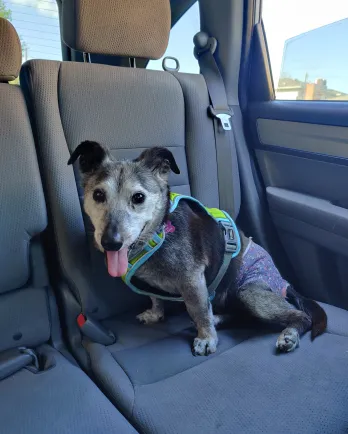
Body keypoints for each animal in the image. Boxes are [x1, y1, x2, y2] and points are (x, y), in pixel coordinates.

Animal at [68, 142, 326, 356]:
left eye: (138, 197)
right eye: (98, 194)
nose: (110, 242)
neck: (159, 233)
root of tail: (285, 283)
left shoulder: (192, 281)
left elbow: (199, 311)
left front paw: (207, 339)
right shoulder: (156, 285)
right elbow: (155, 297)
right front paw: (155, 313)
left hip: (249, 291)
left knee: (300, 316)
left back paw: (289, 335)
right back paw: (219, 318)